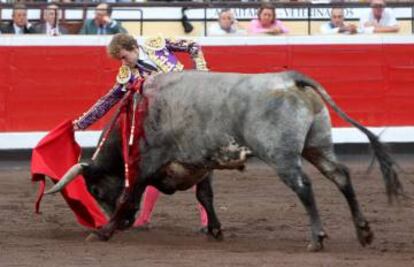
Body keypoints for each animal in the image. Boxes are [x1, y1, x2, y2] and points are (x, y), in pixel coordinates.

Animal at [45, 70, 402, 252]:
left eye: (96, 191)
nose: (125, 225)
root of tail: (291, 78)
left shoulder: (146, 163)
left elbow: (129, 197)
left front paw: (103, 232)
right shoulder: (201, 164)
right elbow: (206, 196)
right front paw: (215, 230)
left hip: (281, 156)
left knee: (304, 186)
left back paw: (317, 239)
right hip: (318, 145)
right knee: (340, 176)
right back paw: (364, 232)